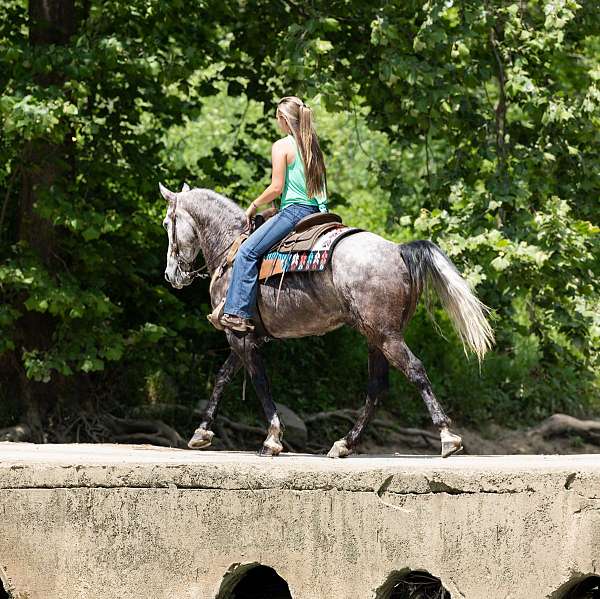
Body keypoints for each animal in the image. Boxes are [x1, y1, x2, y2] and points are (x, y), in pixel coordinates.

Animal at [158, 185, 492, 458]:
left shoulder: (239, 337)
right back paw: (345, 443)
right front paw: (202, 432)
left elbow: (259, 382)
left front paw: (272, 439)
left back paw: (447, 436)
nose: (171, 275)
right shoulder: (245, 336)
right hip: (375, 337)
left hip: (386, 335)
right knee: (377, 388)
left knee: (415, 371)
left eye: (166, 223)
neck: (231, 248)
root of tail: (397, 250)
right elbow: (223, 377)